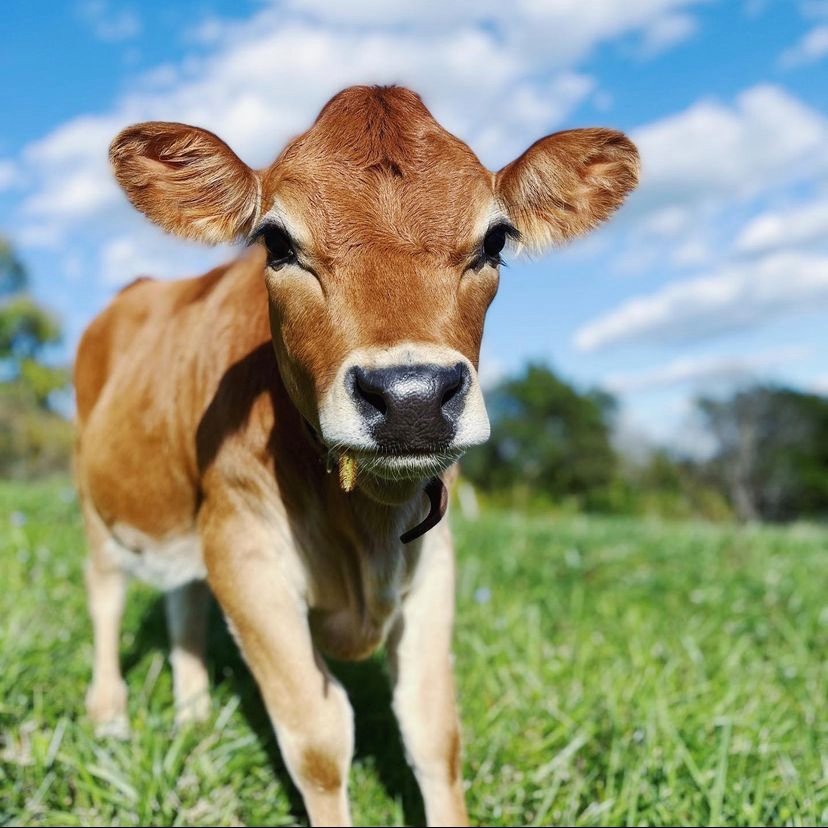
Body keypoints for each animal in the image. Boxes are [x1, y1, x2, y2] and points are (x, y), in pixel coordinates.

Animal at [74, 85, 639, 826]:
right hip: (96, 500)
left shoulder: (433, 558)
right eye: (276, 242)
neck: (364, 519)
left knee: (184, 602)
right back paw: (109, 717)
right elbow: (317, 739)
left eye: (495, 239)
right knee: (106, 596)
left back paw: (193, 718)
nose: (412, 397)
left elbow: (433, 732)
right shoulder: (245, 548)